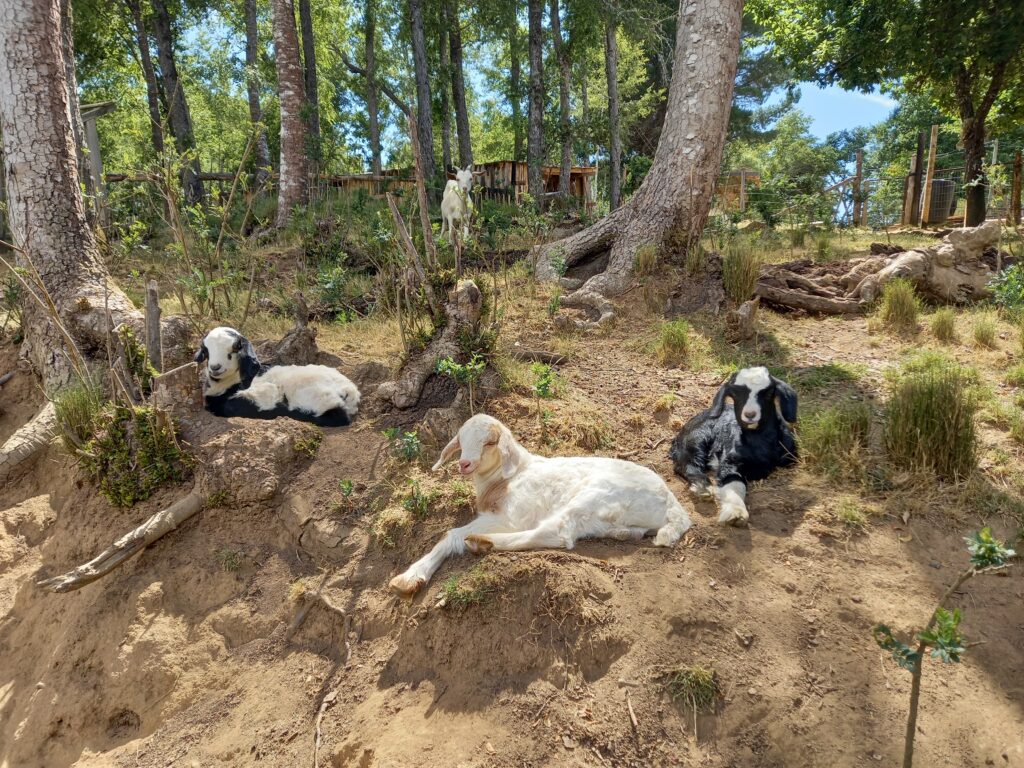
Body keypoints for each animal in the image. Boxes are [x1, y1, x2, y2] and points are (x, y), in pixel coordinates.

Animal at [194, 326, 360, 427]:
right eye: (206, 350)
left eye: (234, 350)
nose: (215, 368)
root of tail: (349, 390)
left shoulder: (265, 393)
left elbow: (233, 406)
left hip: (318, 397)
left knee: (337, 416)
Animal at [389, 413, 691, 595]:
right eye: (461, 440)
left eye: (489, 443)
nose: (464, 463)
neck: (508, 476)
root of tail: (673, 505)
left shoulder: (510, 517)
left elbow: (451, 534)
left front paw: (411, 576)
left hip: (592, 497)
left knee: (556, 533)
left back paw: (483, 542)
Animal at [668, 366, 797, 526]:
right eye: (735, 393)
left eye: (768, 393)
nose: (750, 414)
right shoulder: (730, 462)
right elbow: (734, 483)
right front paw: (736, 513)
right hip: (696, 437)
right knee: (687, 463)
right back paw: (702, 487)